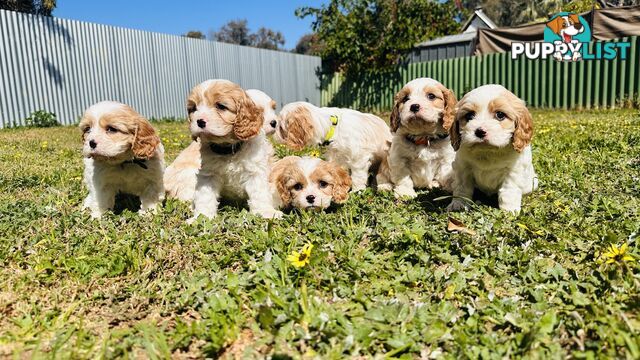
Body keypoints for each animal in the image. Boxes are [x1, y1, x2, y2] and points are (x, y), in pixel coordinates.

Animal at [180, 79, 280, 219]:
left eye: (221, 106)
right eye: (193, 109)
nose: (199, 121)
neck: (228, 149)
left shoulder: (255, 171)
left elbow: (259, 193)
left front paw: (266, 212)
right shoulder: (208, 174)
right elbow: (205, 196)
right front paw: (202, 216)